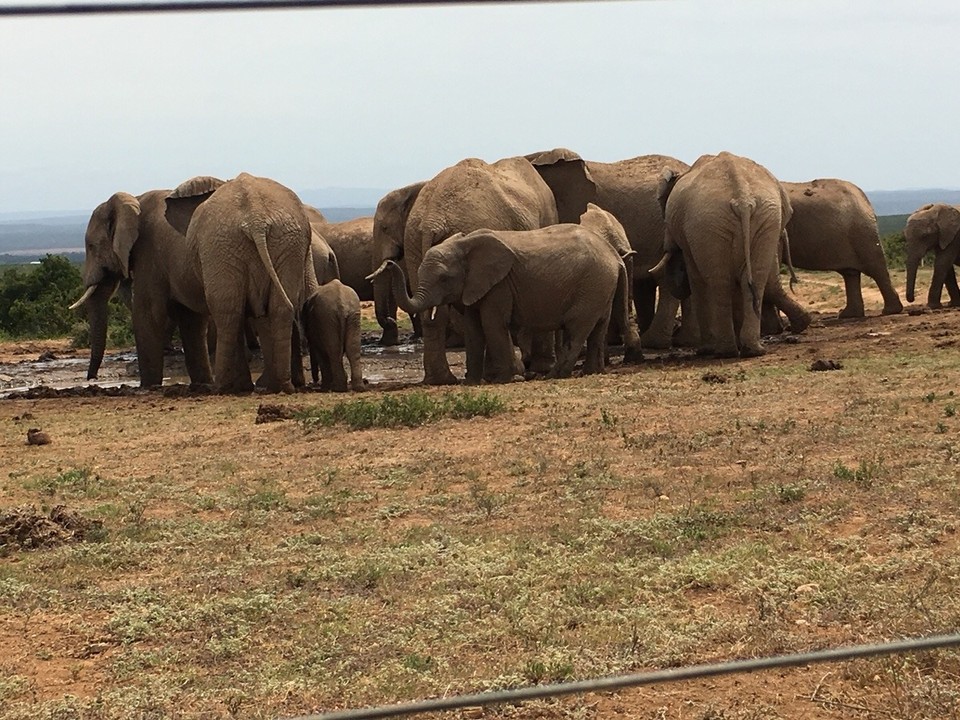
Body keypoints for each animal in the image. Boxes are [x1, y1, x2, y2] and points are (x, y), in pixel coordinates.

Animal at [69, 183, 214, 388]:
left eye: (91, 246)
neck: (134, 200)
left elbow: (147, 313)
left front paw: (149, 386)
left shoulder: (149, 249)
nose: (92, 379)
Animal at [165, 173, 312, 394]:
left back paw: (222, 387)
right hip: (286, 242)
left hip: (220, 247)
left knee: (227, 311)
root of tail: (256, 218)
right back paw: (283, 386)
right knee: (279, 307)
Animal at [372, 222, 630, 383]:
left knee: (576, 329)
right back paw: (592, 372)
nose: (390, 262)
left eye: (444, 279)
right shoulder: (476, 287)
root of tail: (615, 257)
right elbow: (474, 329)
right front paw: (472, 382)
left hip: (592, 284)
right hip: (601, 286)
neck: (465, 245)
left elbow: (492, 324)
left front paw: (506, 379)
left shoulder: (499, 285)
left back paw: (554, 376)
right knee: (598, 328)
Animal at [653, 152, 792, 358]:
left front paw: (705, 350)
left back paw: (723, 351)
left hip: (709, 224)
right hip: (763, 220)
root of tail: (742, 198)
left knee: (720, 282)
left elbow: (696, 278)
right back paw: (752, 350)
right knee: (751, 281)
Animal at [782, 179, 902, 317]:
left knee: (875, 267)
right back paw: (849, 314)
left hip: (862, 231)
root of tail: (866, 201)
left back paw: (890, 311)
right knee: (850, 273)